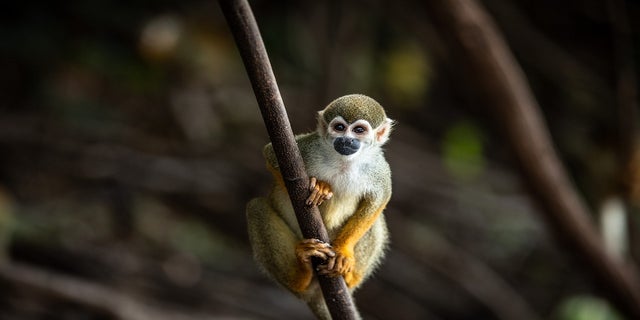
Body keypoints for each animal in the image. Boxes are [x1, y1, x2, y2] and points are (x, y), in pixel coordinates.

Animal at [246, 94, 392, 318]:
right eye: (339, 127)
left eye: (359, 130)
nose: (346, 140)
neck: (344, 161)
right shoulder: (309, 147)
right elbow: (270, 154)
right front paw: (320, 189)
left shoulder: (378, 168)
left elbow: (380, 198)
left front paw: (343, 251)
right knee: (256, 207)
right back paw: (301, 274)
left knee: (376, 222)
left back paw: (349, 279)